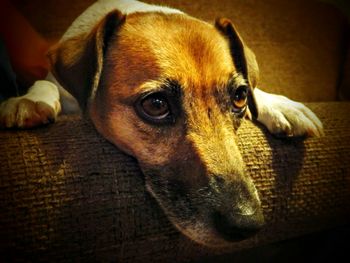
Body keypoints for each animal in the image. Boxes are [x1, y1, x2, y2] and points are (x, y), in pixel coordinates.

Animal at [0, 0, 322, 248]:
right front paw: (30, 100)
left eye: (240, 97)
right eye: (155, 105)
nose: (248, 224)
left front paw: (281, 104)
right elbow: (46, 83)